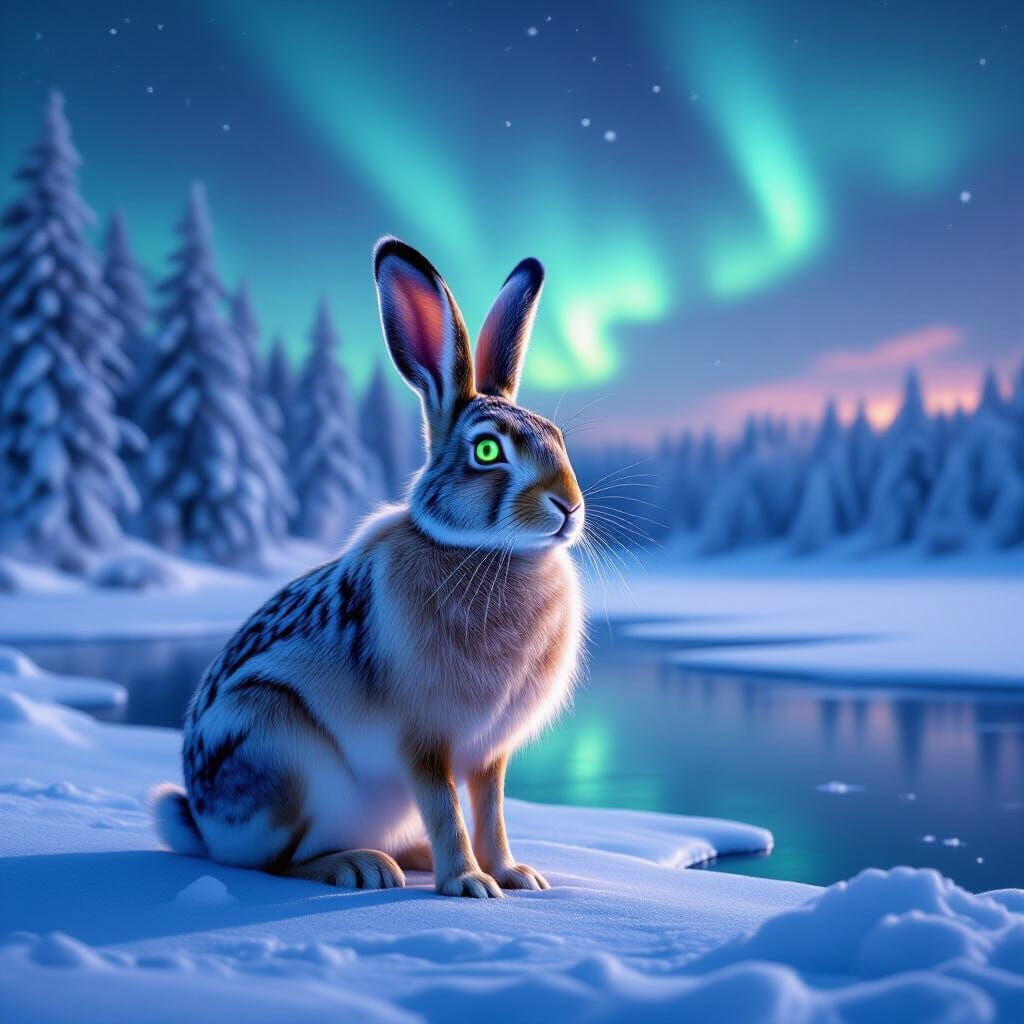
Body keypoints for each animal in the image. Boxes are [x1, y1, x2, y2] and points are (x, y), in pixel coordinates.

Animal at [151, 237, 585, 898]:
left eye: (558, 437)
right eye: (488, 450)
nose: (569, 506)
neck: (487, 551)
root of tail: (202, 824)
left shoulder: (490, 754)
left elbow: (490, 808)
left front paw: (515, 876)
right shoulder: (421, 738)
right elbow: (444, 805)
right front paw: (469, 885)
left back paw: (411, 858)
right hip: (281, 753)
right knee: (275, 860)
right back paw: (360, 867)